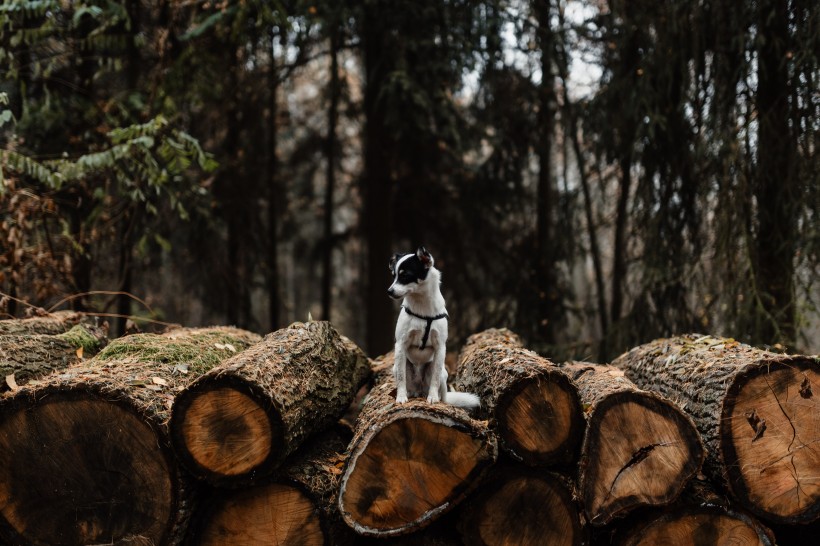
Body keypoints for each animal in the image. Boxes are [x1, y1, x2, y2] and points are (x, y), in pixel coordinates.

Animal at [390, 246, 480, 408]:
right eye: (393, 276)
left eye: (405, 275)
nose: (389, 291)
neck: (422, 307)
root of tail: (419, 389)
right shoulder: (400, 345)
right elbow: (401, 378)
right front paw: (400, 397)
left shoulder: (440, 347)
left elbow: (435, 379)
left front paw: (432, 398)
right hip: (399, 366)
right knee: (405, 380)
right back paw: (409, 394)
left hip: (441, 371)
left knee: (442, 391)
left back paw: (438, 398)